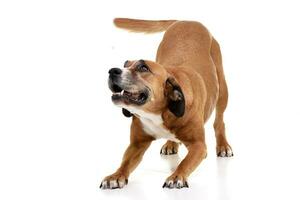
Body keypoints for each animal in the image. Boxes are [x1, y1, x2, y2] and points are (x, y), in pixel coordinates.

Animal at [100, 18, 232, 189]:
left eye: (143, 67)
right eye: (125, 64)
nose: (112, 71)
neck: (158, 113)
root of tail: (187, 20)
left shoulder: (198, 145)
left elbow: (185, 162)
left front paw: (176, 176)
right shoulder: (137, 144)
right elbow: (125, 162)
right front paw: (116, 176)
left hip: (222, 89)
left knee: (219, 122)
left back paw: (223, 145)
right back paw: (171, 144)